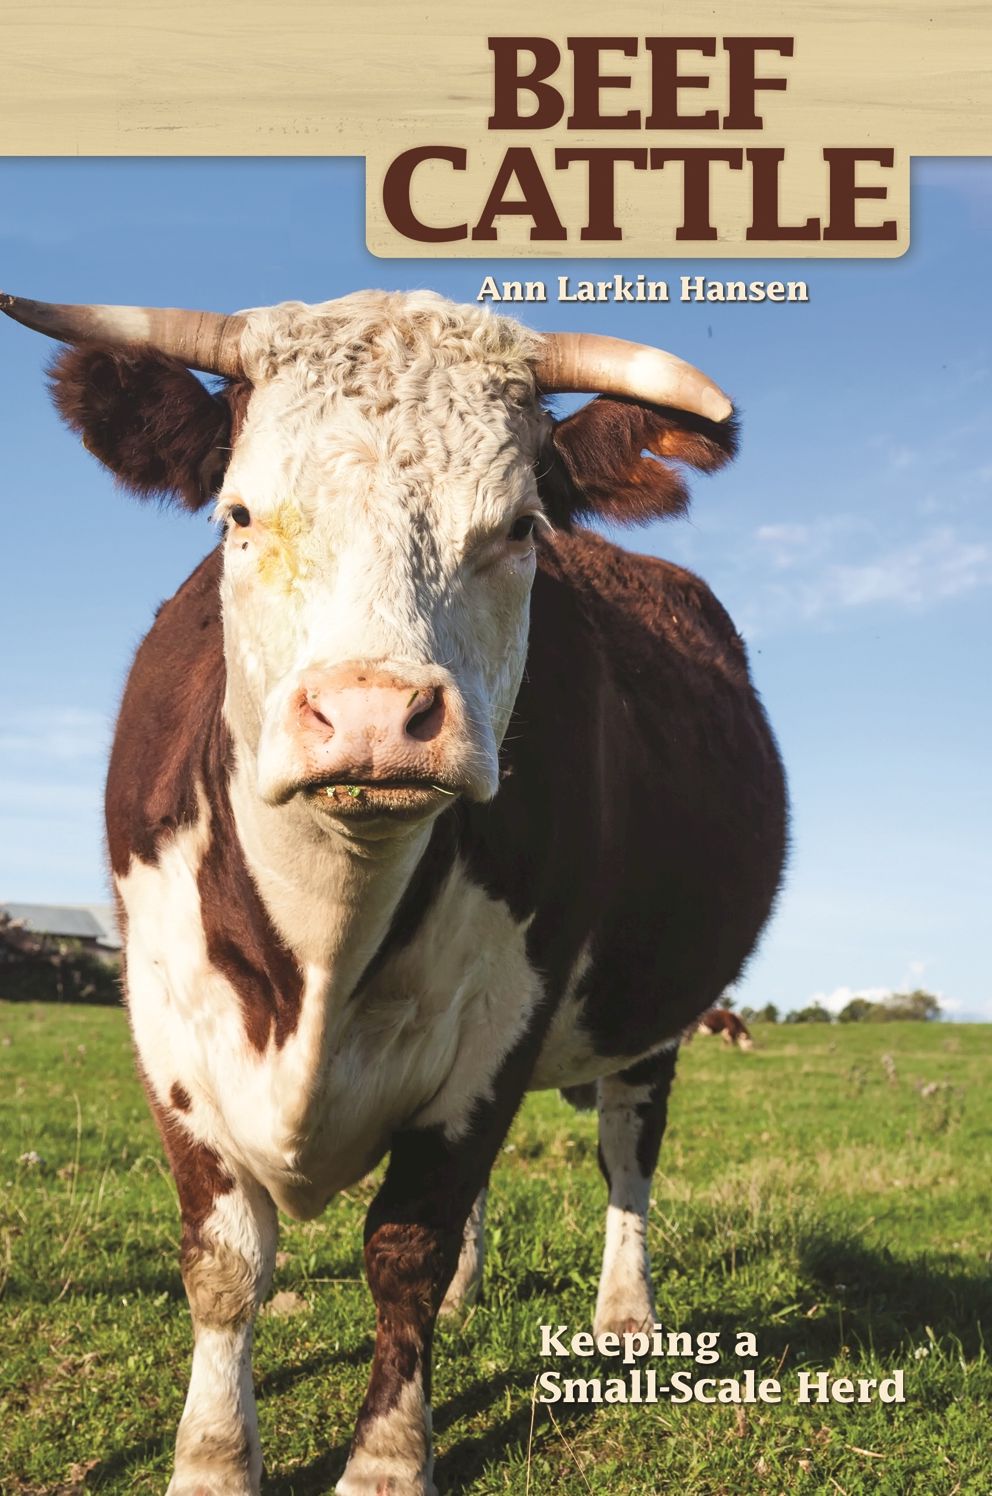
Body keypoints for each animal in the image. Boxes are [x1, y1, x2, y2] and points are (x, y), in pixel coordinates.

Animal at [2, 288, 787, 1496]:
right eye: (238, 514)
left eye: (518, 527)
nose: (373, 714)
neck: (323, 947)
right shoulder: (167, 1024)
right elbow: (226, 1259)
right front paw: (212, 1457)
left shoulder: (501, 1026)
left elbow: (403, 1246)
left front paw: (385, 1459)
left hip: (652, 1014)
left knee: (625, 1147)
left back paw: (624, 1312)